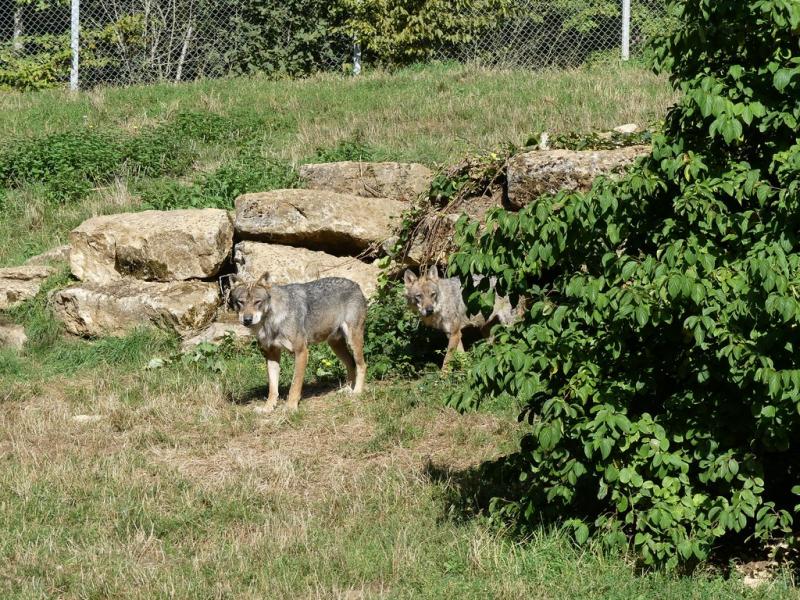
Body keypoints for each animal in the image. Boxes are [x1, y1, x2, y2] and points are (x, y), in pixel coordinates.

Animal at [229, 272, 367, 412]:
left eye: (257, 302)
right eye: (240, 302)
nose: (247, 319)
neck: (270, 321)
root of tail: (356, 284)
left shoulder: (301, 351)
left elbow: (295, 384)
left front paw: (290, 408)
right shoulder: (271, 355)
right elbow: (272, 389)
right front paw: (268, 408)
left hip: (353, 341)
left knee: (362, 365)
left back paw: (357, 392)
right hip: (335, 345)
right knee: (350, 364)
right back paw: (347, 390)